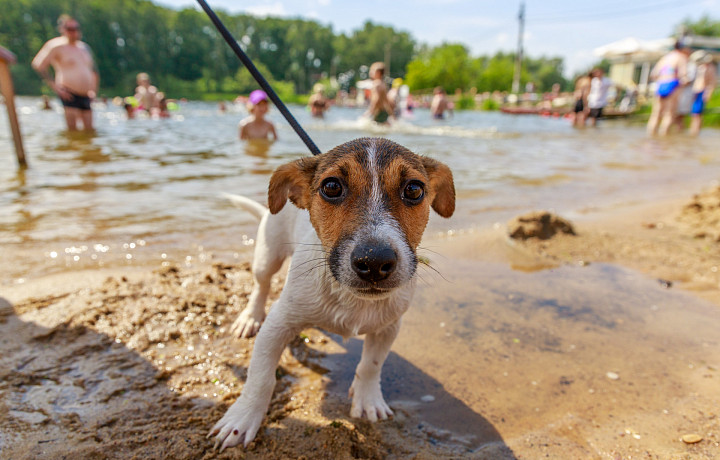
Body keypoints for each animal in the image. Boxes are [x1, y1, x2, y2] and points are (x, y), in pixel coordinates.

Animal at [210, 137, 456, 450]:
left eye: (414, 189)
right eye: (331, 187)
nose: (374, 261)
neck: (352, 299)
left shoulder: (388, 327)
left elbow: (371, 365)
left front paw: (368, 401)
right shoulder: (278, 324)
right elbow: (261, 377)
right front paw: (242, 419)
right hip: (268, 254)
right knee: (261, 285)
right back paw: (250, 317)